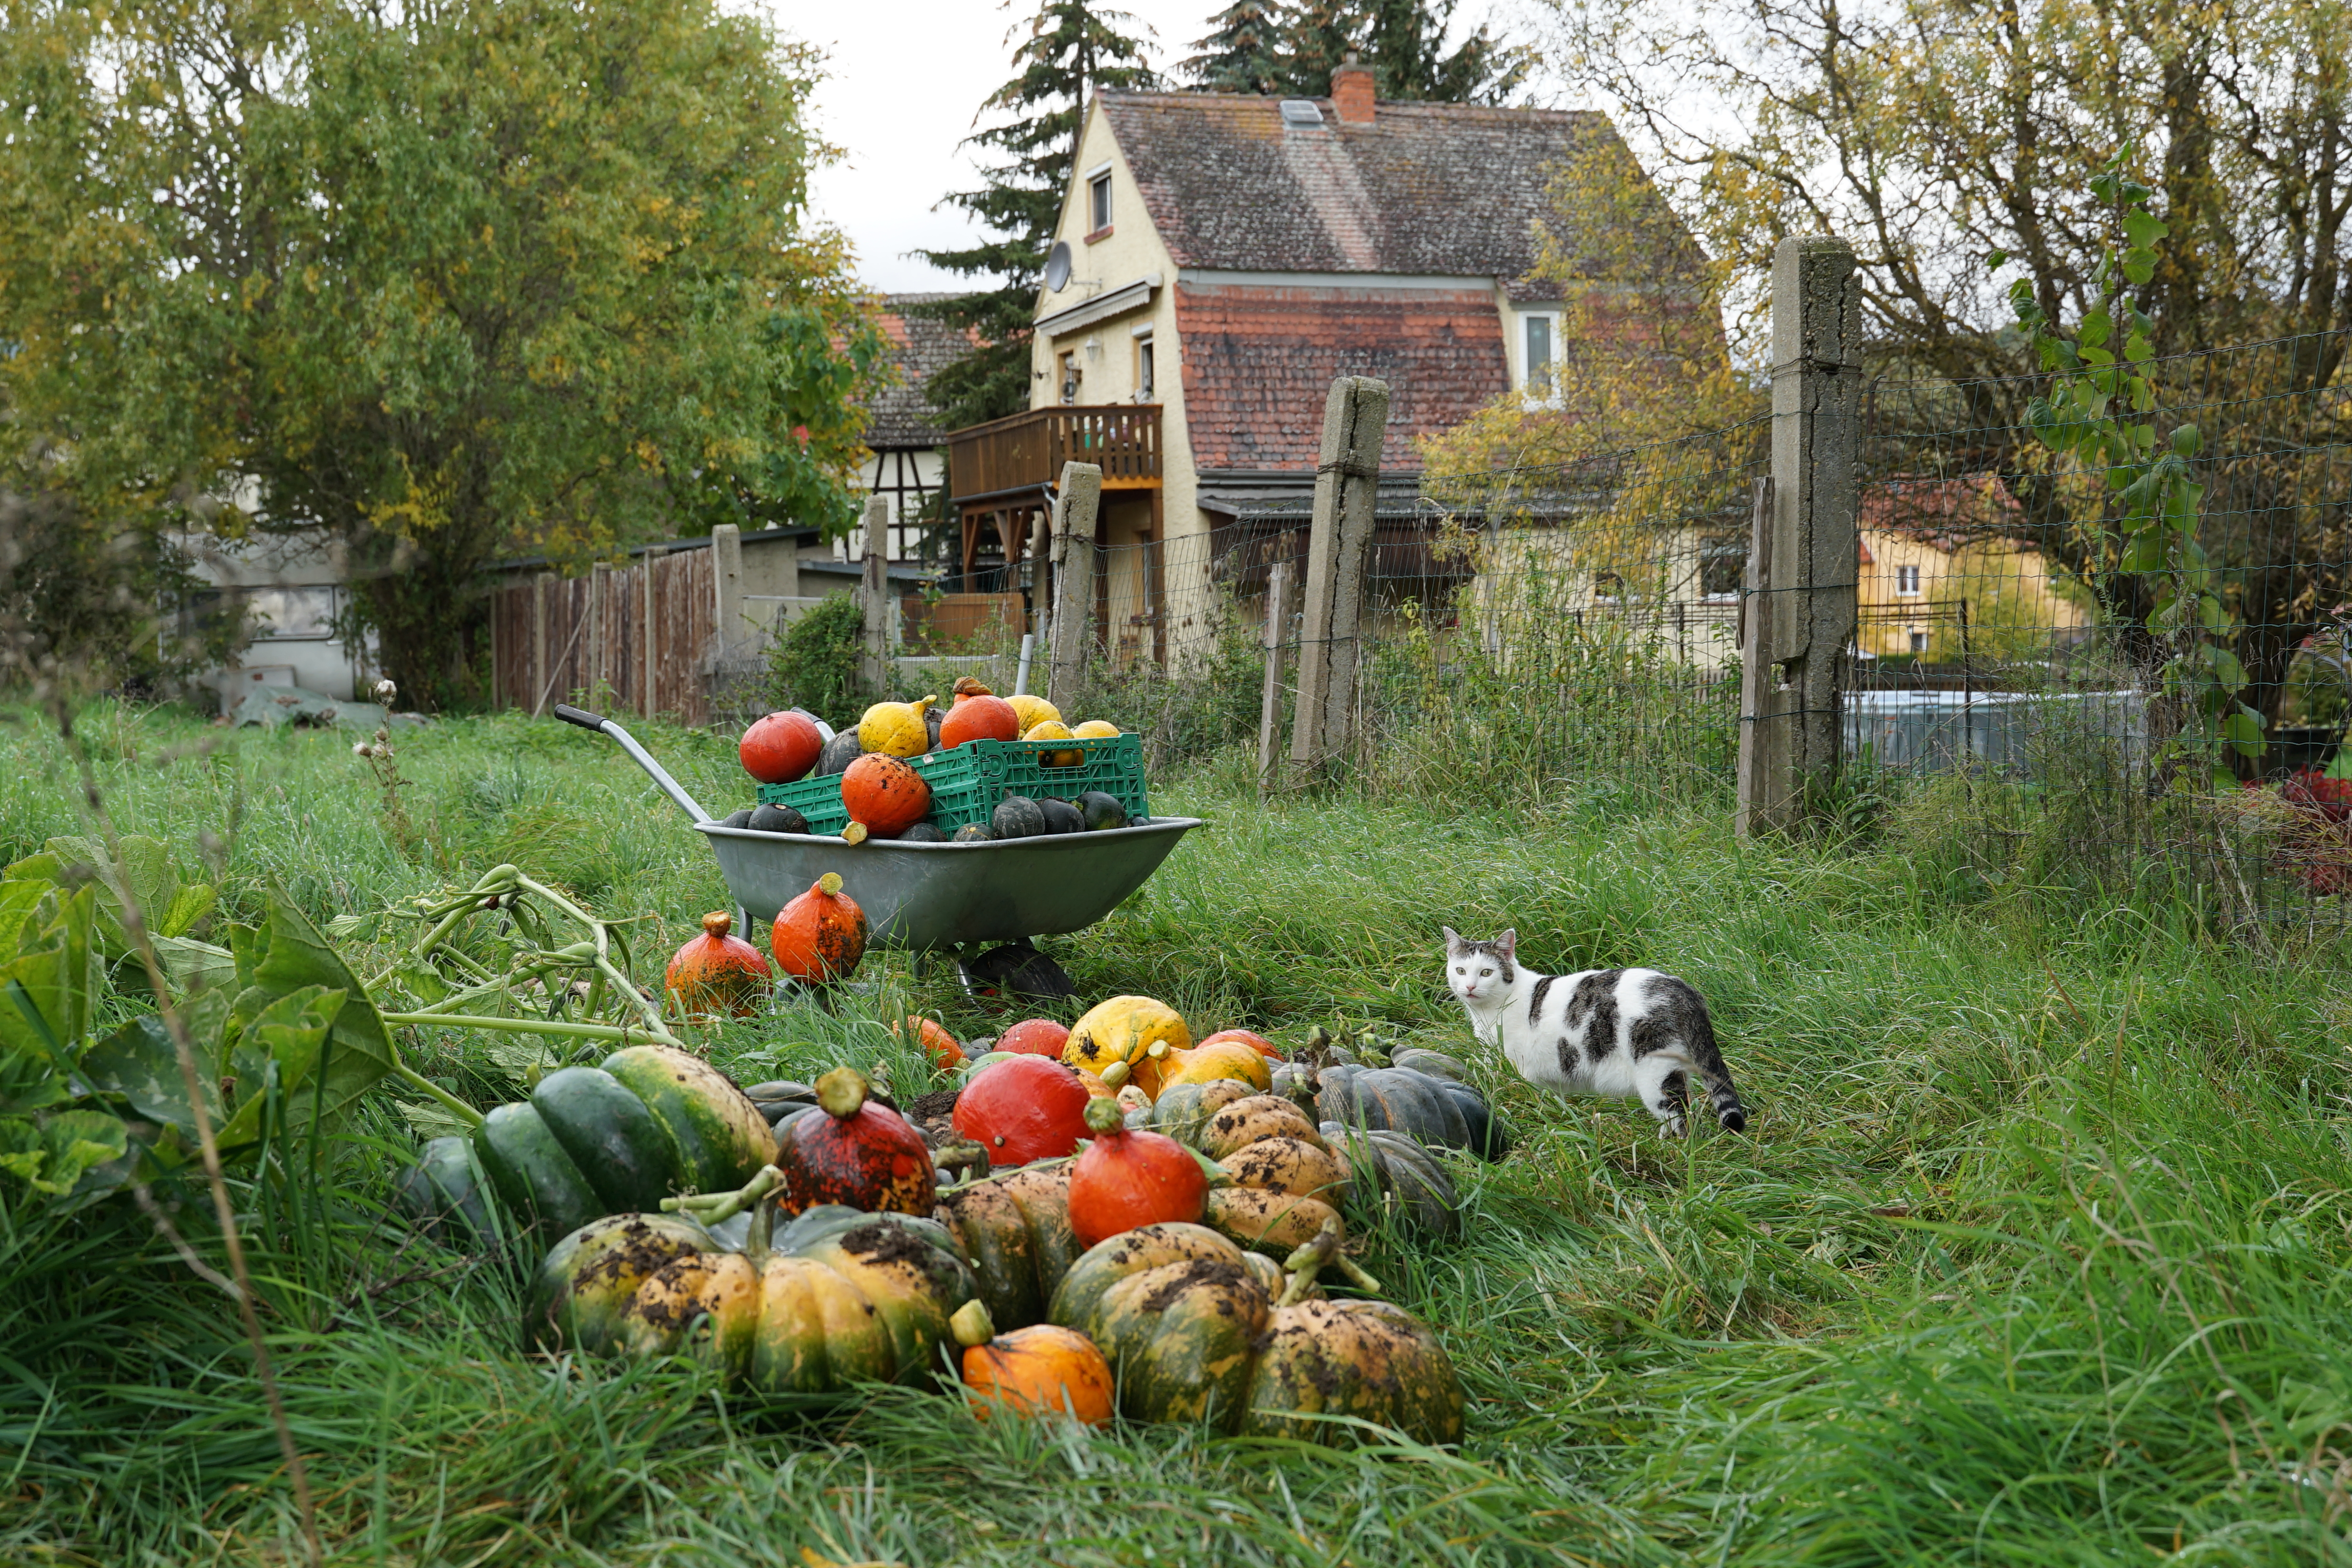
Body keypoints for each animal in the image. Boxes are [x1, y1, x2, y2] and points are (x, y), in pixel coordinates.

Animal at [1430, 926, 1750, 1133]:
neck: (1489, 1013)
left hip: (1655, 1072)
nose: (1470, 987)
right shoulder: (1548, 1082)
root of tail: (1684, 989)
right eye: (1460, 971)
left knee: (1679, 1116)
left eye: (1487, 972)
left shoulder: (1522, 1074)